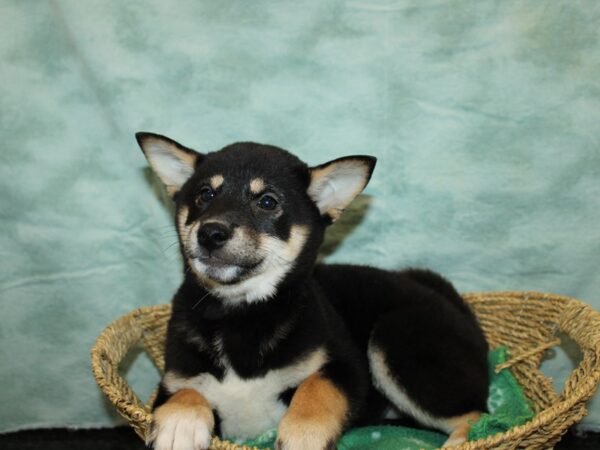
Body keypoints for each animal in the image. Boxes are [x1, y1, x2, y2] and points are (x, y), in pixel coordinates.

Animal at [137, 132, 492, 448]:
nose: (210, 233)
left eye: (268, 201)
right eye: (204, 195)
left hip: (395, 340)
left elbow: (317, 388)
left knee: (478, 415)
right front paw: (179, 423)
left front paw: (303, 433)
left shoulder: (347, 367)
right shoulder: (173, 380)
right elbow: (184, 393)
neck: (239, 315)